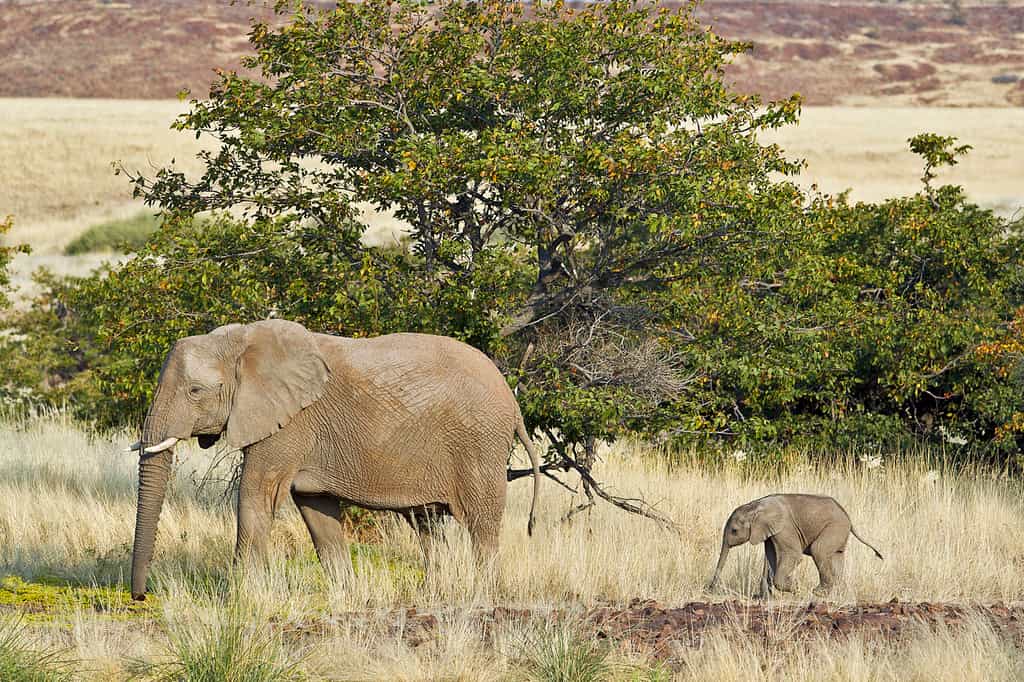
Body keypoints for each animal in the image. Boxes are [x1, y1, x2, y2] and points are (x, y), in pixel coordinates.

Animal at [125, 319, 541, 600]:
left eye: (195, 391)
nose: (141, 596)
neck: (243, 341)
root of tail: (512, 399)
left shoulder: (289, 424)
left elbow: (256, 497)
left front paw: (241, 599)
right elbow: (316, 511)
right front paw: (347, 595)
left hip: (479, 446)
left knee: (481, 525)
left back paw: (481, 596)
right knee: (427, 527)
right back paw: (434, 593)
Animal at [706, 494, 883, 598]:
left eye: (734, 531)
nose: (709, 590)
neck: (755, 506)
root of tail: (848, 516)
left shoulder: (785, 527)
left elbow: (793, 555)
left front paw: (796, 589)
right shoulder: (769, 532)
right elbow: (770, 558)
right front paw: (764, 599)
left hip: (834, 527)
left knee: (819, 551)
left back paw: (818, 593)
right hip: (839, 531)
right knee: (837, 557)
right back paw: (838, 594)